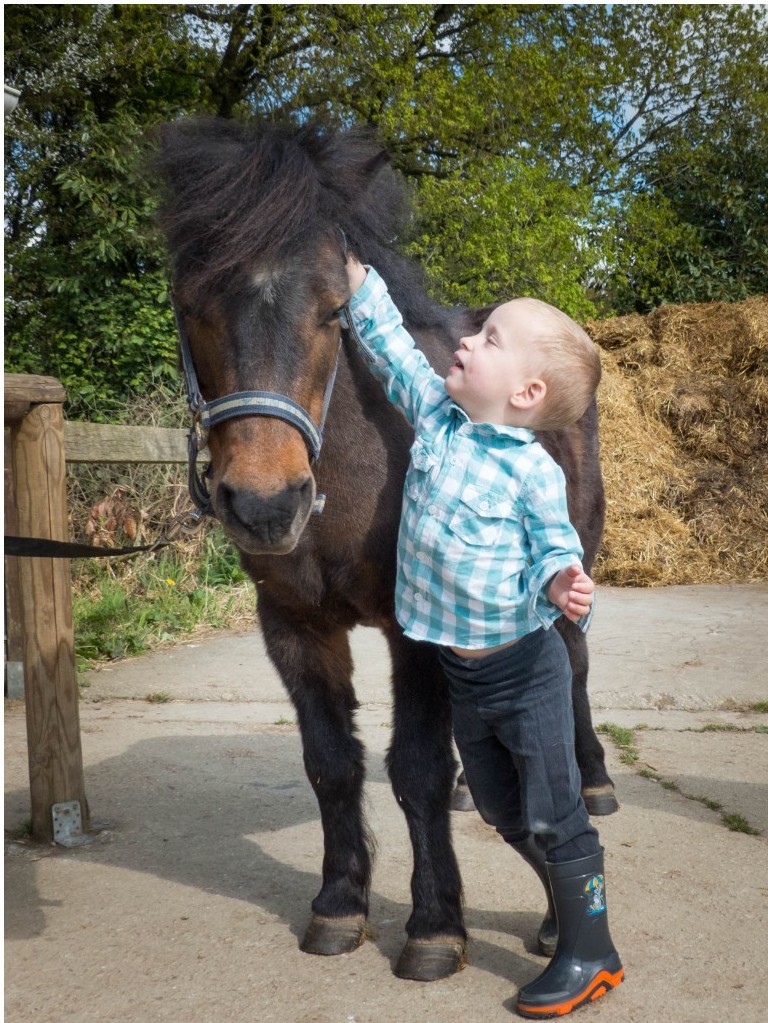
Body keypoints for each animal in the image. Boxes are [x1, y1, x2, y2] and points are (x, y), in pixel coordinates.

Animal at [157, 119, 617, 982]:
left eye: (334, 310)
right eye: (190, 302)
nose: (267, 504)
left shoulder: (416, 631)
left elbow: (416, 768)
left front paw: (435, 924)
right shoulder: (293, 624)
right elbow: (333, 762)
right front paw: (340, 904)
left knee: (570, 663)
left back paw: (596, 779)